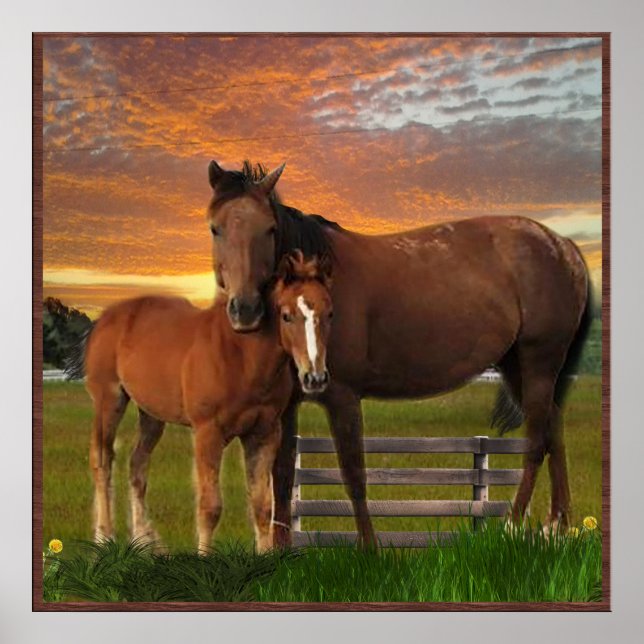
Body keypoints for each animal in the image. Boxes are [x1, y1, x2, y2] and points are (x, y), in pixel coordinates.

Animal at [66, 250, 334, 552]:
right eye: (286, 316)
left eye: (329, 313)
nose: (315, 377)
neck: (242, 358)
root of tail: (105, 318)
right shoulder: (208, 433)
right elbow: (210, 506)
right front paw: (204, 559)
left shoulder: (264, 433)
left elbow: (263, 506)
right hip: (109, 401)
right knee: (102, 460)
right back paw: (104, 539)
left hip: (151, 414)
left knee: (137, 465)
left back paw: (144, 540)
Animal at [206, 160, 592, 548]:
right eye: (215, 228)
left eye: (269, 229)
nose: (245, 309)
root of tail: (564, 246)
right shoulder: (286, 407)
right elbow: (283, 476)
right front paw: (282, 551)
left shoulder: (343, 396)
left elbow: (353, 474)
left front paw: (370, 549)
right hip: (518, 368)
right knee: (553, 427)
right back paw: (557, 527)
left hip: (538, 361)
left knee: (537, 440)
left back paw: (514, 525)